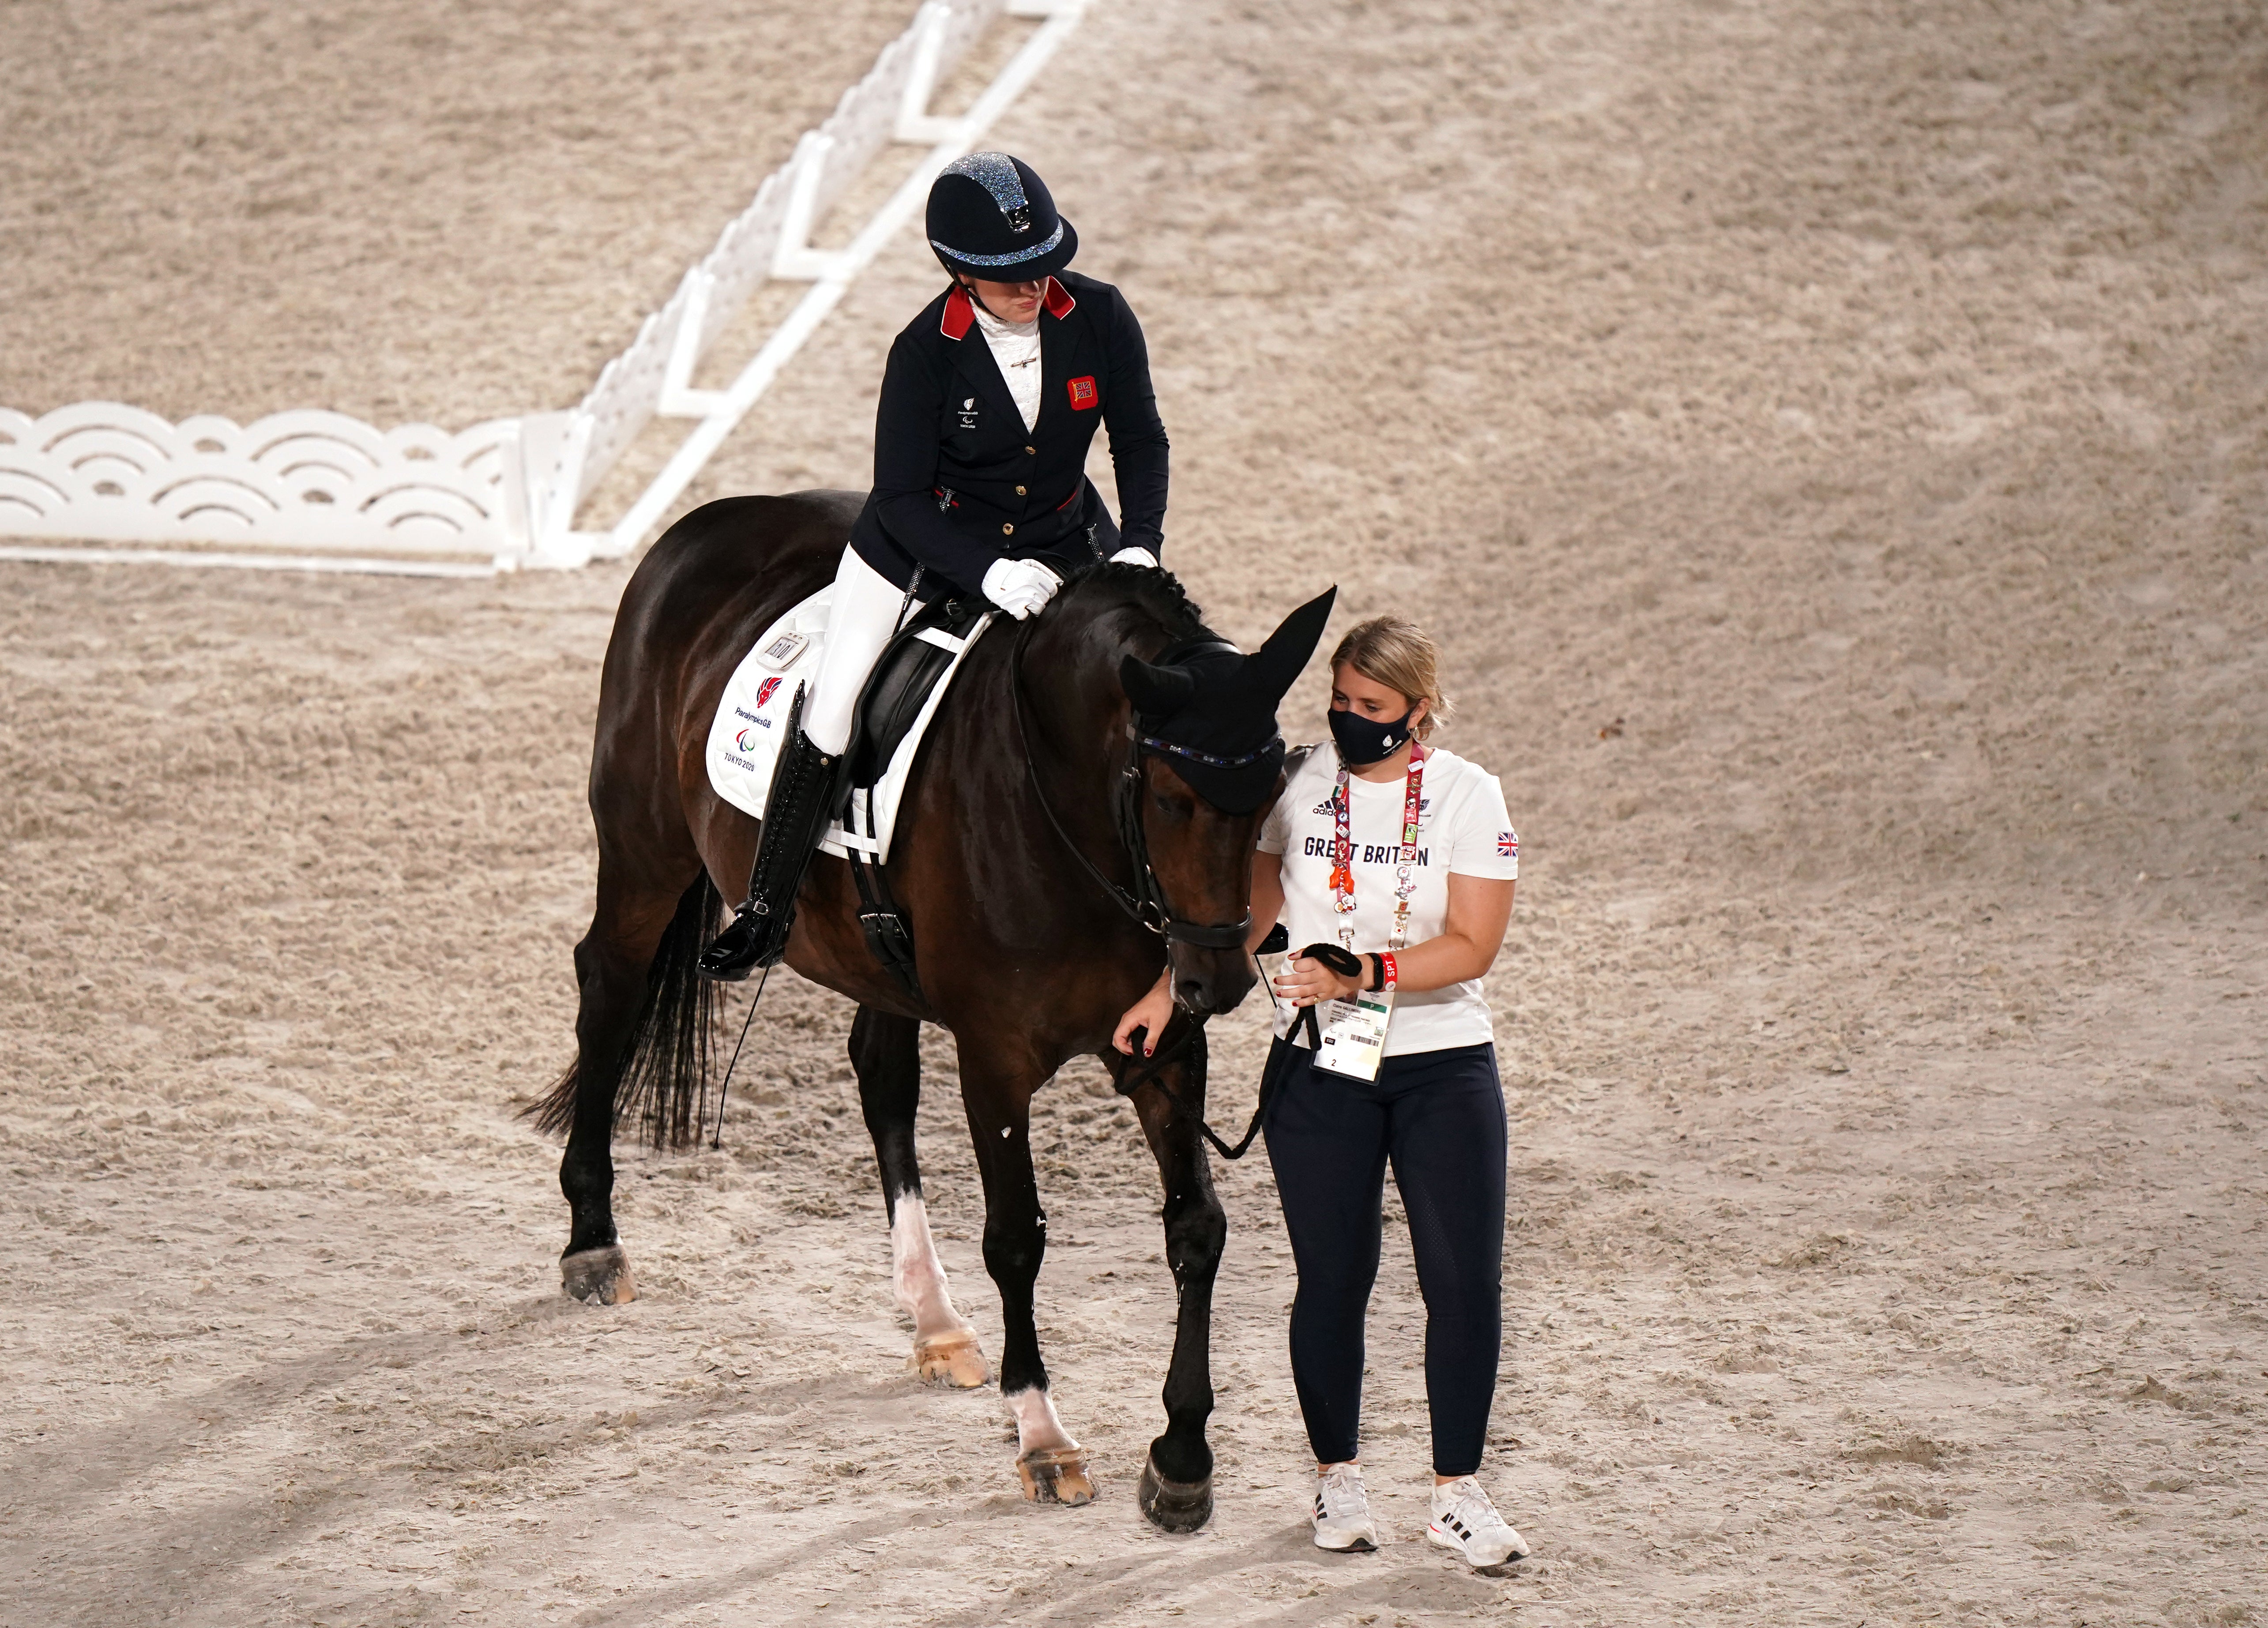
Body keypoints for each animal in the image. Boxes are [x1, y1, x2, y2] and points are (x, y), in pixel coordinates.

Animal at [535, 494, 1324, 1533]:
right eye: (1168, 794)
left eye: (1273, 781)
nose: (1217, 976)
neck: (1063, 813)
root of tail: (708, 520)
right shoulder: (994, 1057)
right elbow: (1016, 1237)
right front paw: (1044, 1438)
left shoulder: (1162, 1048)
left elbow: (1196, 1226)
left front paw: (1182, 1459)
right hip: (643, 848)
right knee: (609, 990)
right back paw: (592, 1239)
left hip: (876, 961)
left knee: (880, 1076)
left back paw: (936, 1320)